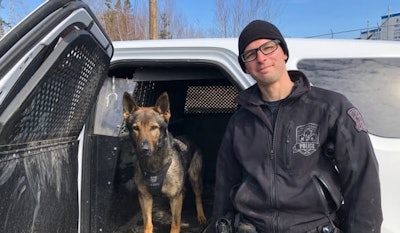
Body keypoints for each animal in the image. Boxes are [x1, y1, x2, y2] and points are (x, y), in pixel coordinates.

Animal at [122, 92, 208, 232]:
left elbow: (175, 223)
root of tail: (188, 136)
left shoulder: (174, 197)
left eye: (154, 127)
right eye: (136, 128)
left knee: (197, 197)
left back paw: (201, 215)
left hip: (195, 178)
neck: (153, 165)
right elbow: (148, 223)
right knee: (184, 191)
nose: (143, 149)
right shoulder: (145, 197)